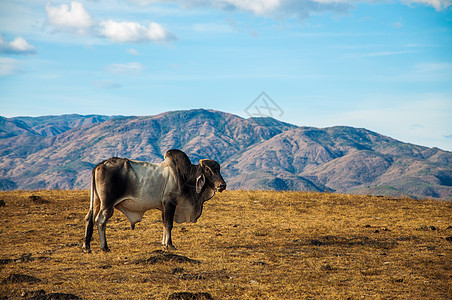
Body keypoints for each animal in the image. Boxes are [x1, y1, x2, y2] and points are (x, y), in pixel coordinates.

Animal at [81, 149, 226, 252]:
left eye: (218, 170)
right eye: (207, 169)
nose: (222, 185)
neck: (183, 175)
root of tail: (100, 165)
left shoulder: (163, 206)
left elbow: (164, 224)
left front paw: (163, 244)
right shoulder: (170, 203)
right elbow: (169, 224)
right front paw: (170, 245)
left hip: (97, 201)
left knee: (89, 218)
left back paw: (86, 247)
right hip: (108, 203)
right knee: (100, 220)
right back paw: (104, 247)